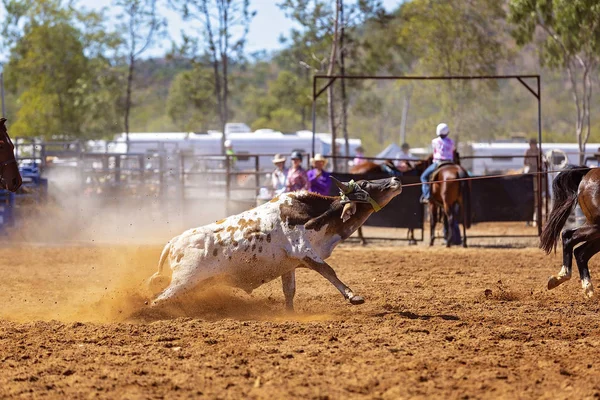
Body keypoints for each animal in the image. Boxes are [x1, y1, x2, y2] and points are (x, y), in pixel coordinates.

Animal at [149, 177, 404, 310]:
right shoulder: (304, 250)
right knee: (157, 299)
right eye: (366, 182)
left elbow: (289, 291)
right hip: (184, 281)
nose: (395, 179)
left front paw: (290, 314)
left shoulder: (289, 264)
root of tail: (173, 242)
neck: (310, 213)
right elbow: (329, 271)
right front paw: (353, 296)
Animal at [540, 164, 600, 298]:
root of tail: (588, 172)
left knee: (580, 252)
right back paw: (563, 276)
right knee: (568, 236)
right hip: (597, 225)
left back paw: (587, 288)